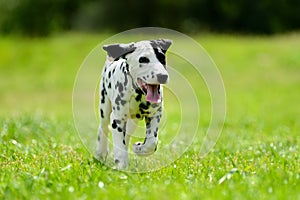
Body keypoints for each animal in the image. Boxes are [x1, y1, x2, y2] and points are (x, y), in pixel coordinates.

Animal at [96, 38, 171, 169]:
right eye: (143, 59)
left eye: (162, 58)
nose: (163, 76)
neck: (137, 93)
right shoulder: (117, 120)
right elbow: (119, 147)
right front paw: (121, 167)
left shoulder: (154, 115)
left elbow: (152, 142)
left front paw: (139, 148)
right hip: (104, 108)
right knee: (103, 129)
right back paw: (100, 153)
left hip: (132, 122)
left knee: (126, 136)